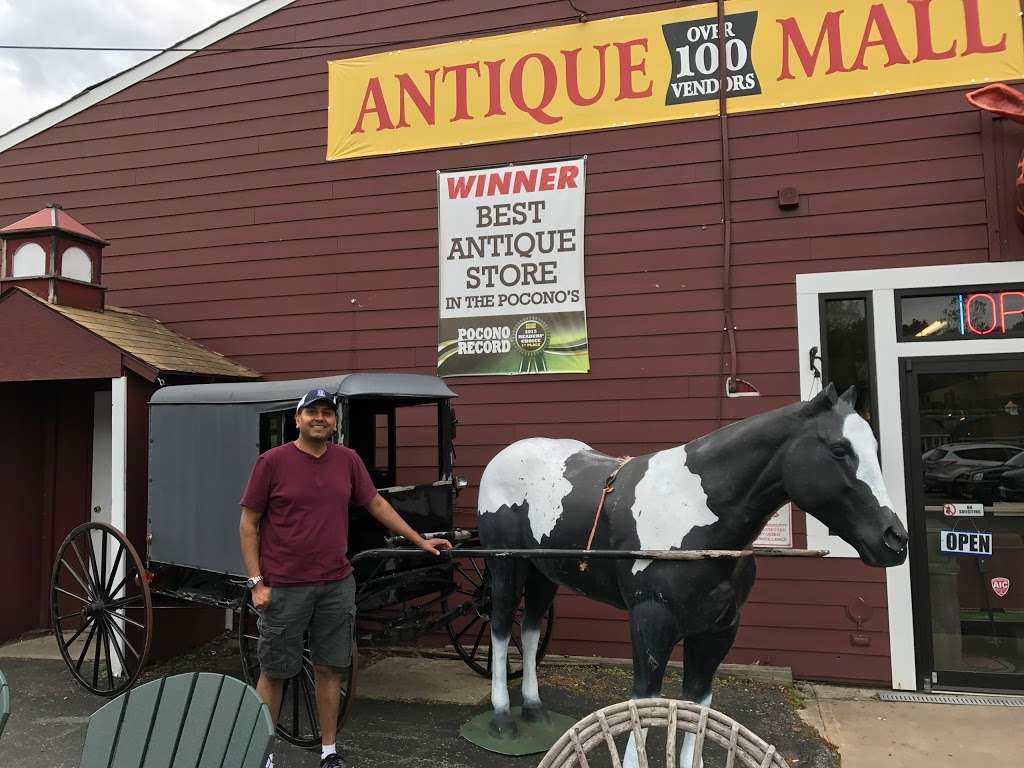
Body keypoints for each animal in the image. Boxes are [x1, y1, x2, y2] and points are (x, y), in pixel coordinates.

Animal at [475, 387, 909, 765]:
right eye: (839, 450)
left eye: (873, 449)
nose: (895, 540)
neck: (696, 513)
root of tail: (505, 457)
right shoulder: (651, 622)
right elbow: (642, 707)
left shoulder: (717, 629)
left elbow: (694, 709)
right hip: (505, 565)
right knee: (500, 628)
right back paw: (503, 717)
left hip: (544, 573)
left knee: (531, 630)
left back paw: (534, 709)